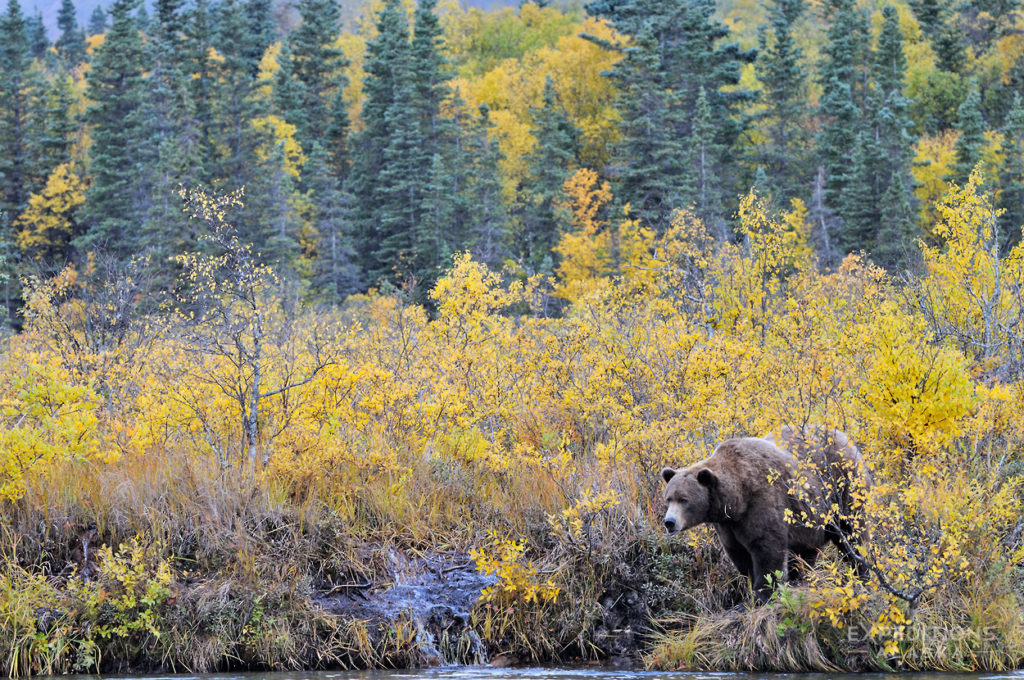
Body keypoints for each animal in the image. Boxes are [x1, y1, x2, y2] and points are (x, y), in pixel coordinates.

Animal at [659, 428, 868, 602]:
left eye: (684, 499)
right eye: (668, 498)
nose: (669, 522)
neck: (736, 500)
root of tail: (848, 439)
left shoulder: (762, 501)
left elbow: (767, 549)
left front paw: (764, 594)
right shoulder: (727, 526)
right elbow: (739, 554)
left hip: (843, 488)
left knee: (852, 534)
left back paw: (862, 573)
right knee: (805, 548)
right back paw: (798, 578)